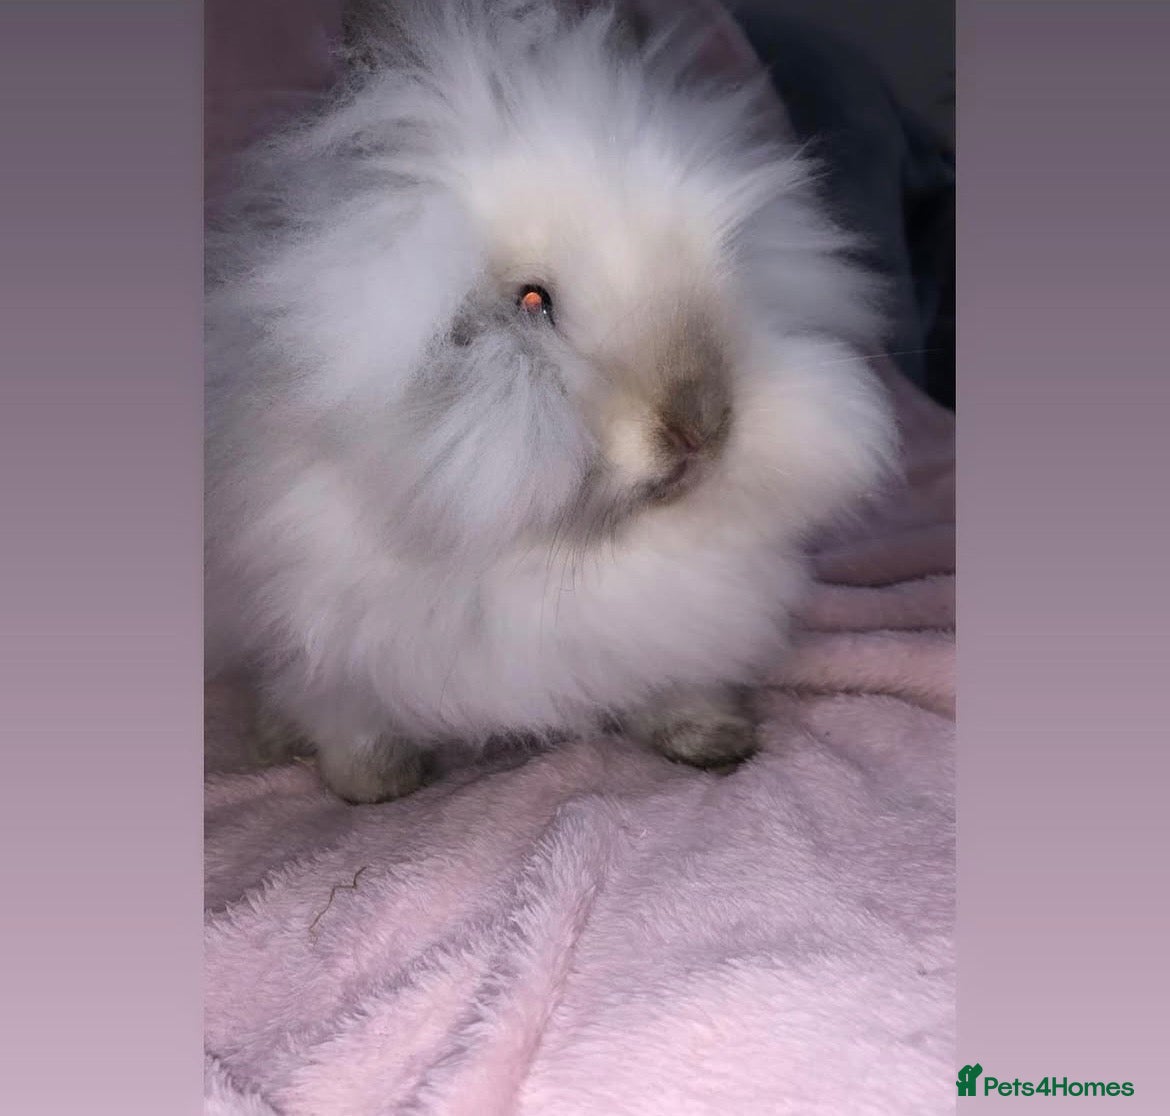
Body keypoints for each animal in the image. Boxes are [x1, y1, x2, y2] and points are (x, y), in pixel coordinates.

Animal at [204, 0, 898, 803]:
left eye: (724, 268)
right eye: (533, 302)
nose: (701, 425)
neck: (564, 556)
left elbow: (682, 687)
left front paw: (713, 742)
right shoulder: (323, 632)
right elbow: (351, 718)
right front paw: (376, 786)